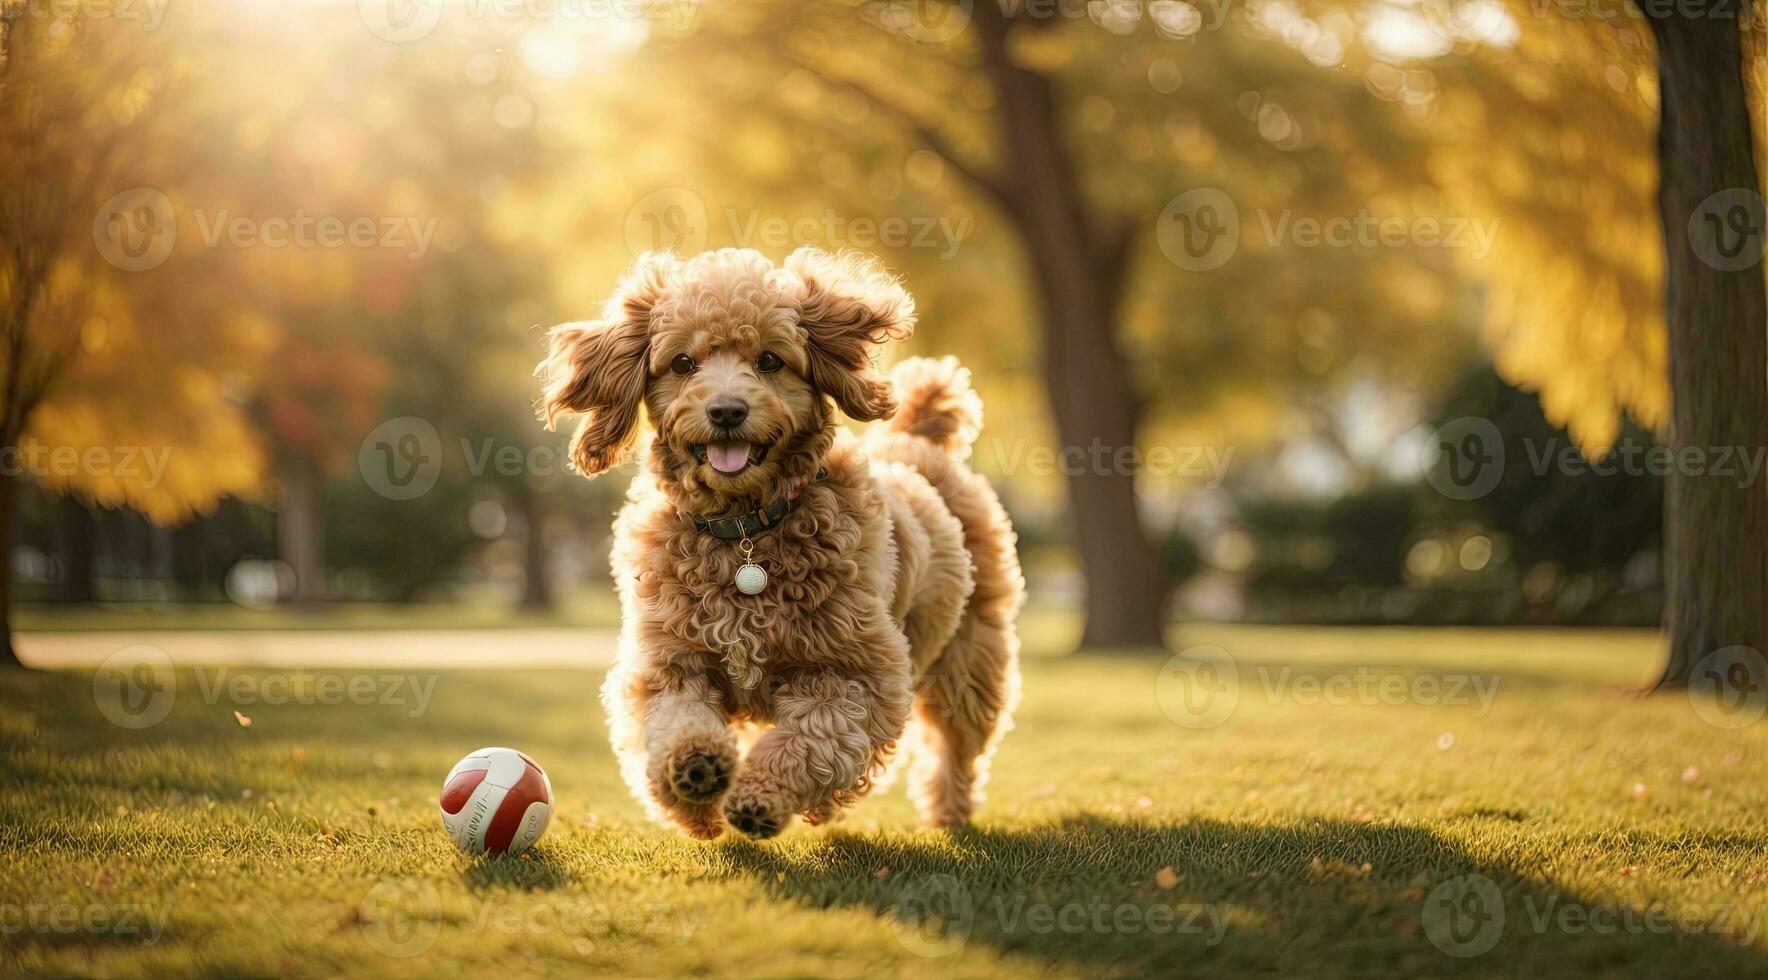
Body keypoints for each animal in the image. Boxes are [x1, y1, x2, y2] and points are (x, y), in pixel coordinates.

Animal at [544, 247, 1032, 834]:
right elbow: (674, 721)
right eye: (682, 363)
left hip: (970, 660)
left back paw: (945, 811)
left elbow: (813, 738)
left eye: (770, 360)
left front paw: (760, 797)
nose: (727, 410)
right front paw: (695, 776)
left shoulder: (855, 672)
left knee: (953, 747)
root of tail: (915, 443)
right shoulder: (669, 661)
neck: (745, 534)